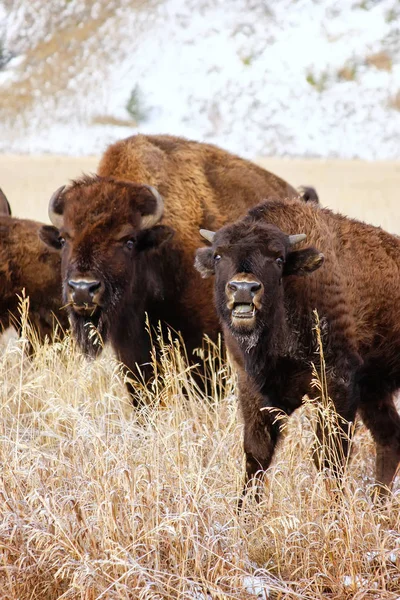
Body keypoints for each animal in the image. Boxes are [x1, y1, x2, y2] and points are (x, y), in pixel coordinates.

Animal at [195, 198, 400, 502]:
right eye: (219, 256)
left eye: (279, 259)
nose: (244, 288)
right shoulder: (253, 389)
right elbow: (256, 454)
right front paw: (245, 511)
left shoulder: (337, 385)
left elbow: (328, 456)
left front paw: (334, 509)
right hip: (374, 391)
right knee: (390, 438)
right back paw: (378, 502)